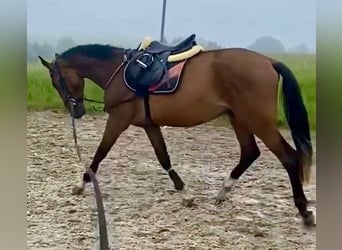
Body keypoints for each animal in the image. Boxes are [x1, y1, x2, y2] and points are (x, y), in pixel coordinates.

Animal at [38, 34, 316, 228]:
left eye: (56, 80)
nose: (76, 111)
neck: (119, 71)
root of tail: (269, 61)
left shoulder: (118, 119)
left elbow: (100, 152)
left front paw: (81, 184)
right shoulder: (149, 124)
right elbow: (163, 157)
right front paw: (185, 194)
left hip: (258, 121)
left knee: (289, 158)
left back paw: (304, 211)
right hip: (239, 118)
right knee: (249, 153)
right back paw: (223, 191)